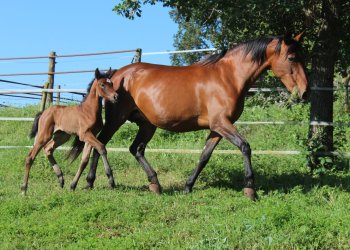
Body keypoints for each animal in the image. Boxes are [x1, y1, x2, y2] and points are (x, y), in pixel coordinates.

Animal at [80, 33, 308, 201]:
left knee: (135, 149)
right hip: (116, 119)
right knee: (100, 144)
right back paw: (92, 182)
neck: (228, 77)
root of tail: (115, 76)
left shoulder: (217, 128)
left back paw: (155, 184)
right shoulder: (221, 123)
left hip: (147, 124)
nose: (305, 92)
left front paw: (188, 187)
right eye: (292, 58)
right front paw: (250, 189)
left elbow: (204, 156)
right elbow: (245, 147)